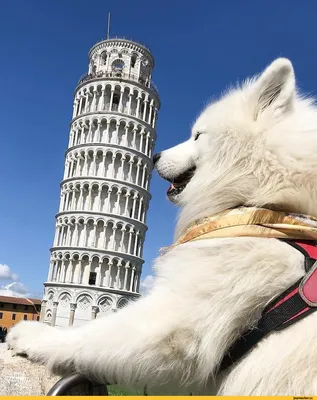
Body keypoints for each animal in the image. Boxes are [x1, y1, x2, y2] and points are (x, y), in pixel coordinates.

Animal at [6, 57, 317, 396]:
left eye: (198, 135)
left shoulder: (182, 315)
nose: (155, 156)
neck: (268, 202)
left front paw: (34, 335)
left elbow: (93, 336)